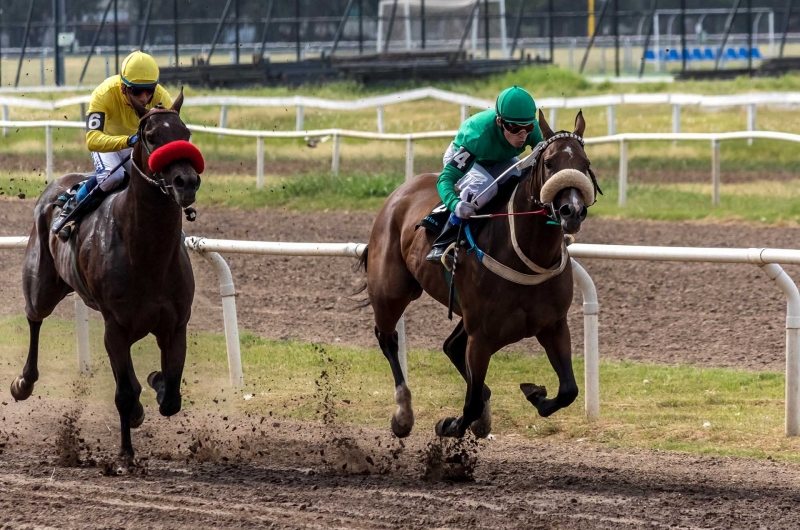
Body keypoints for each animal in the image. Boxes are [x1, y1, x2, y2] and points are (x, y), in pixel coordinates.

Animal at [10, 88, 202, 456]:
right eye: (151, 136)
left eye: (186, 134)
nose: (186, 181)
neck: (148, 255)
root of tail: (60, 183)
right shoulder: (116, 327)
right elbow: (125, 394)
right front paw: (126, 453)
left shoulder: (176, 325)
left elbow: (170, 396)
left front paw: (155, 382)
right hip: (42, 285)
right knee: (34, 316)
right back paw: (23, 382)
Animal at [360, 108, 592, 438]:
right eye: (549, 163)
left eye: (586, 165)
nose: (572, 211)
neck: (526, 255)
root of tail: (401, 191)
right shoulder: (481, 337)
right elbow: (467, 406)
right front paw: (450, 423)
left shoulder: (553, 325)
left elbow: (568, 390)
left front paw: (534, 393)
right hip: (391, 290)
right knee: (388, 338)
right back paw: (403, 414)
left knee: (451, 346)